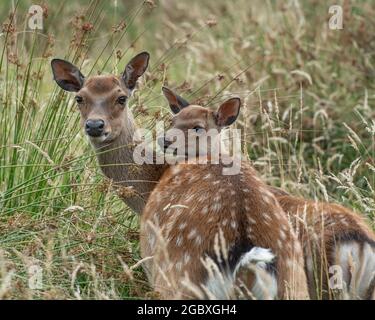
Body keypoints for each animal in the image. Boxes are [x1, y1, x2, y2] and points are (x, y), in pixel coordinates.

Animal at [140, 87, 308, 300]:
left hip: (175, 275)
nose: (165, 140)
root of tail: (246, 262)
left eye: (198, 127)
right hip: (296, 284)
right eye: (172, 120)